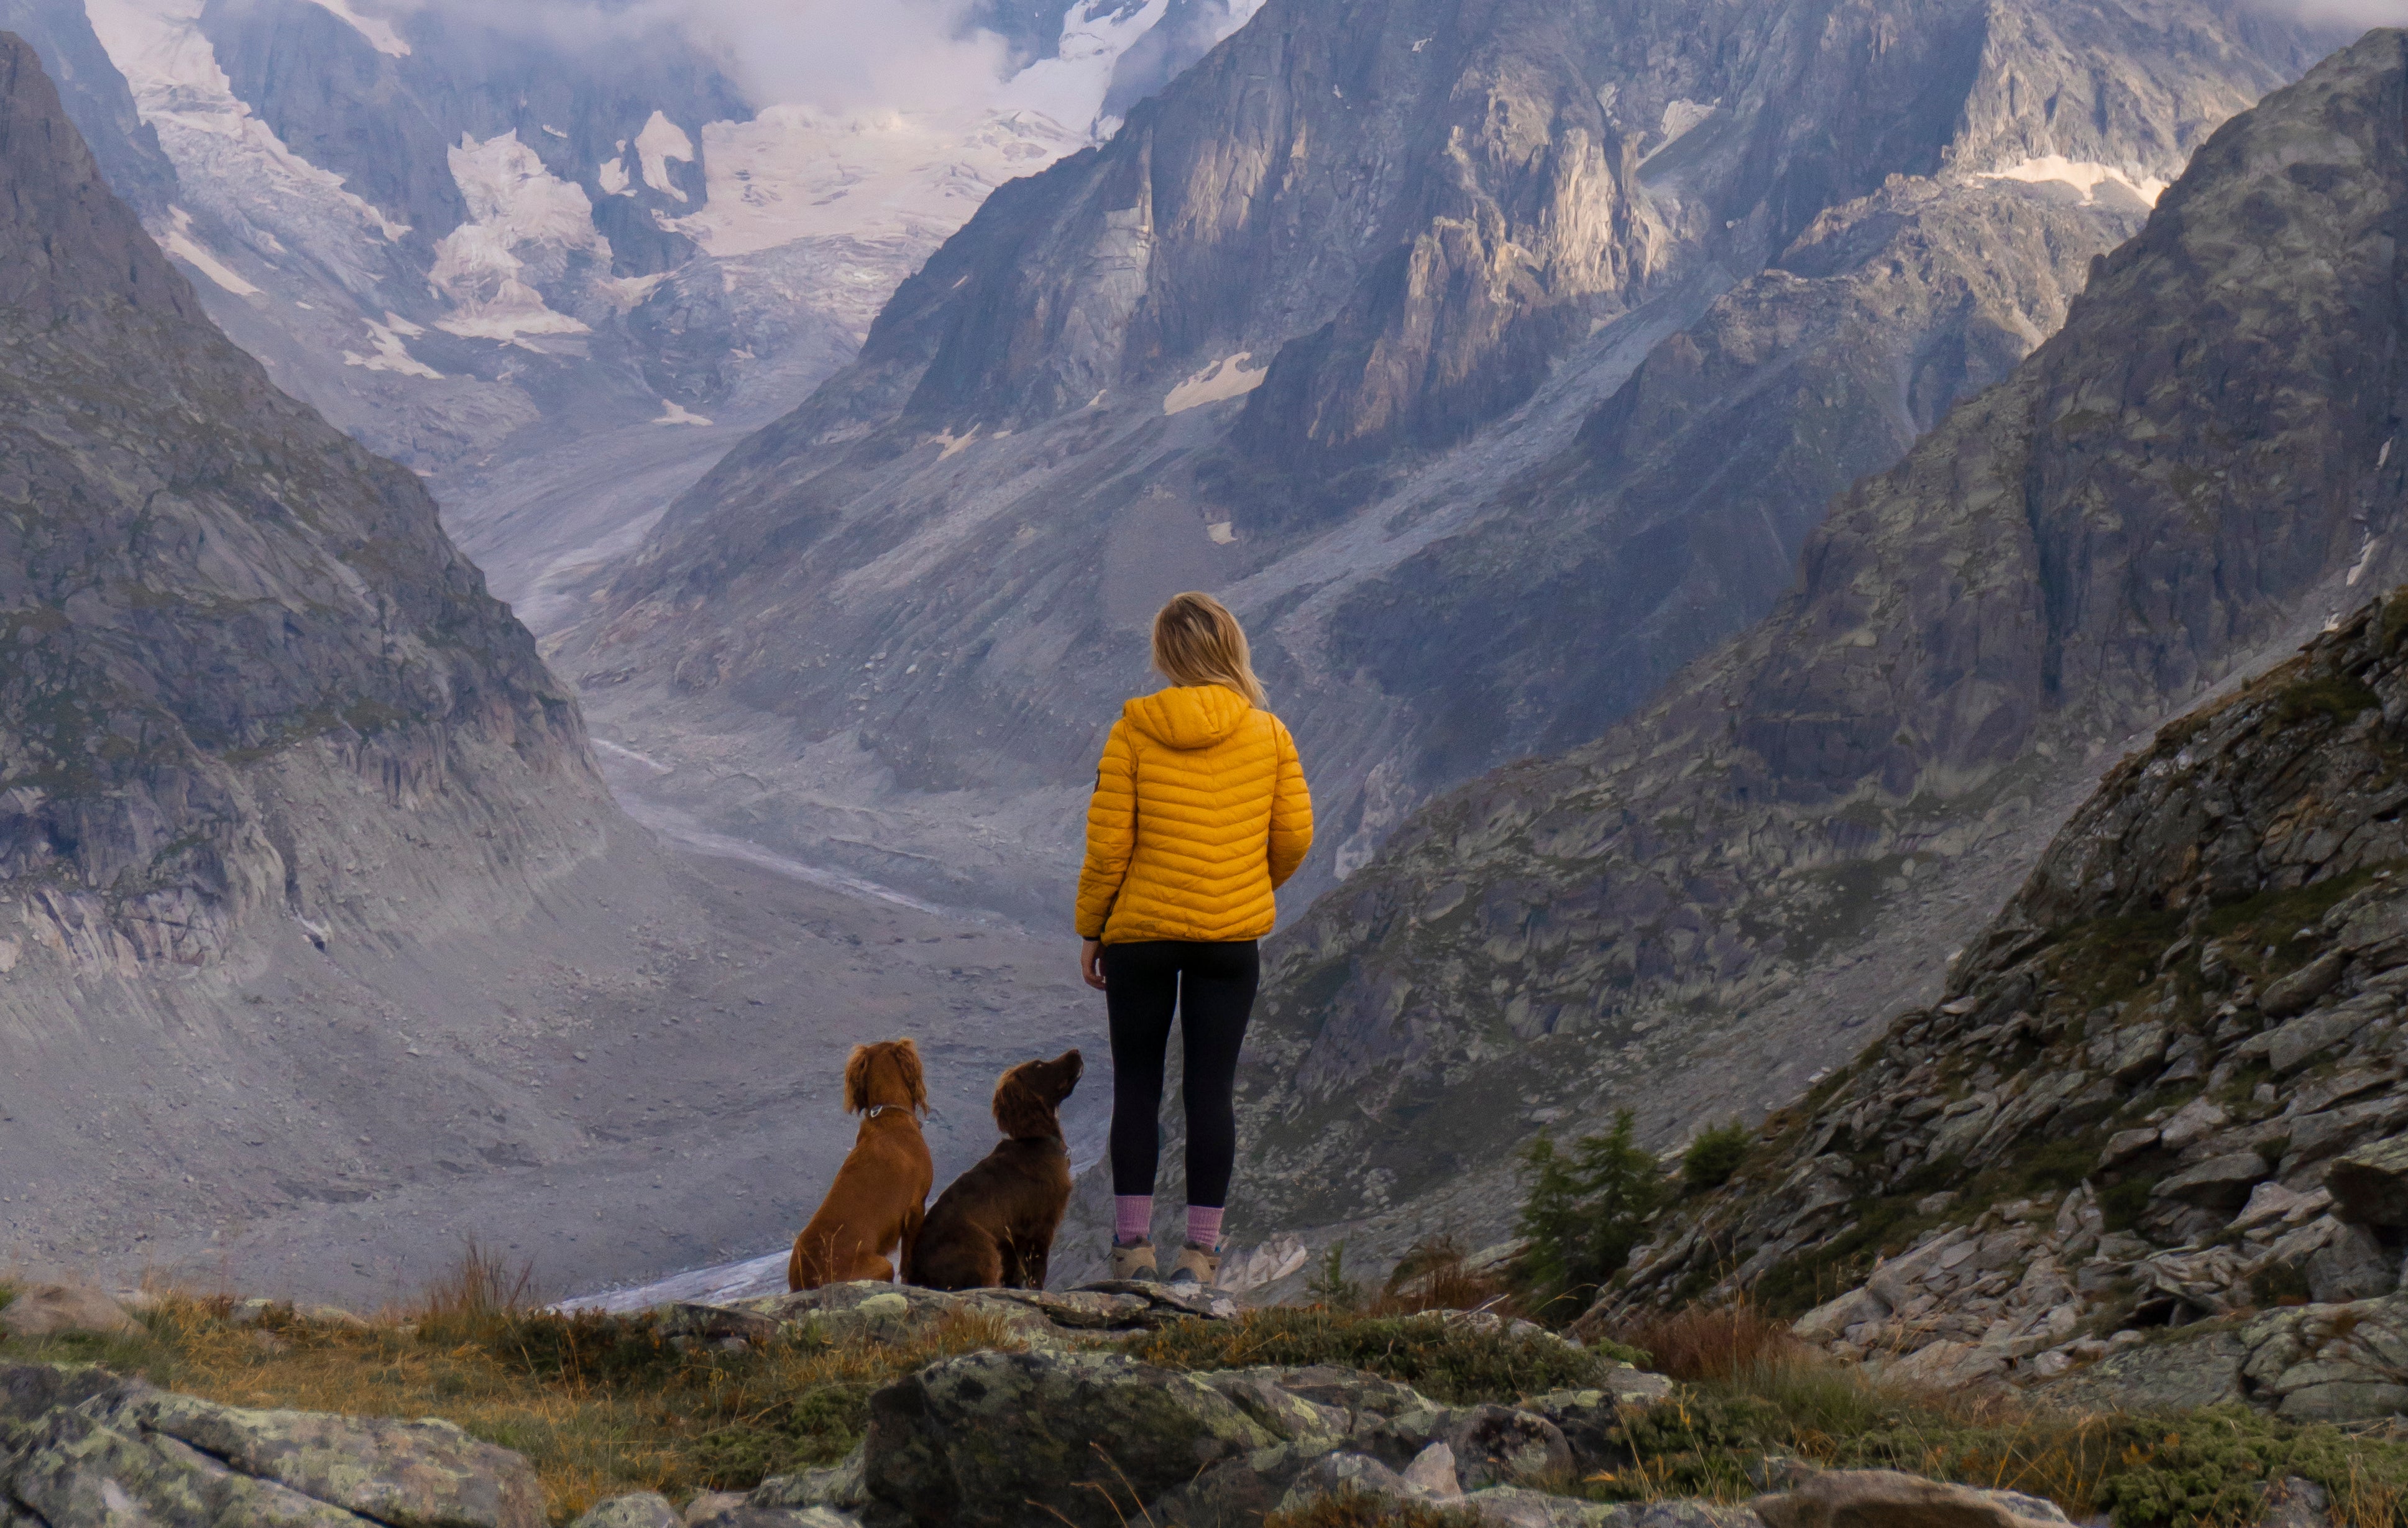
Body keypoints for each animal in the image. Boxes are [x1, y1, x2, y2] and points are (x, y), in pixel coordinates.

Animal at [905, 1046, 1088, 1282]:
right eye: (1039, 1065)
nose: (1076, 1051)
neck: (1036, 1139)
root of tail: (917, 1275)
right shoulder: (1040, 1226)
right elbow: (1036, 1274)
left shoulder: (1012, 1240)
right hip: (984, 1250)